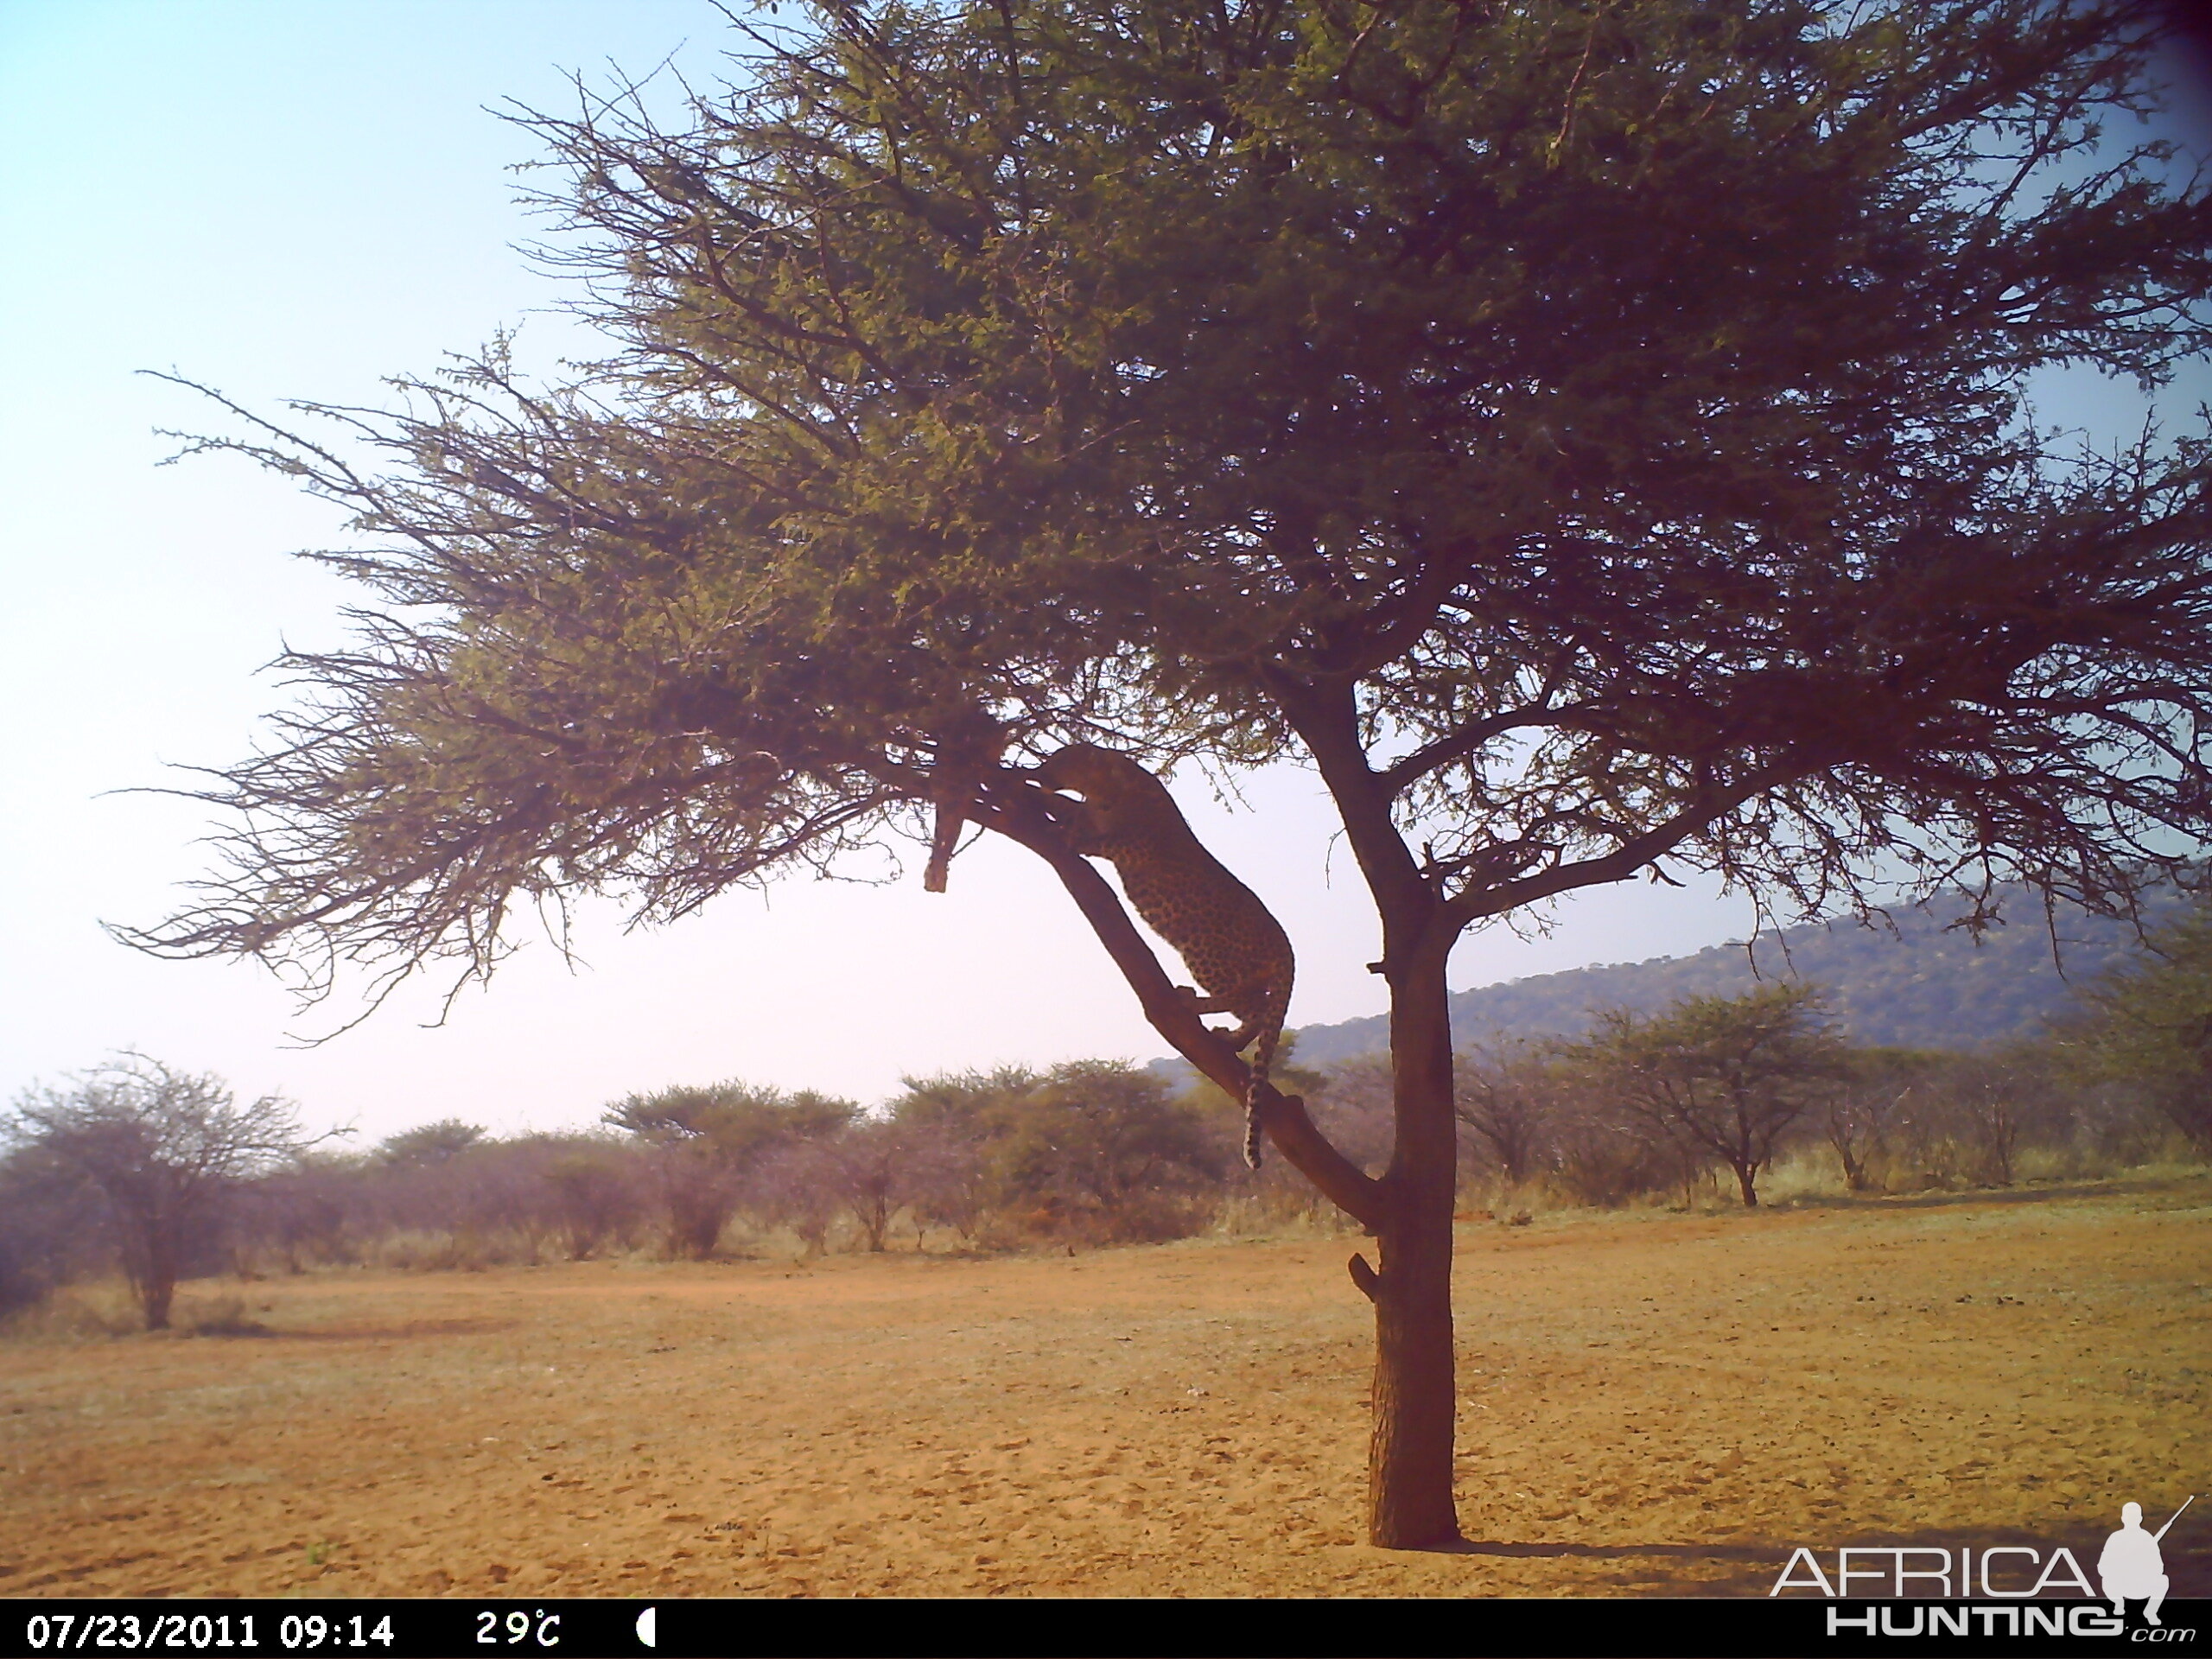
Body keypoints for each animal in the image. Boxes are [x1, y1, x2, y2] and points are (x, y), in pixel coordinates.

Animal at [1035, 747, 1292, 1176]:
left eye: (1059, 759)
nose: (1037, 771)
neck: (1106, 786)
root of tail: (1286, 946)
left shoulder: (1131, 844)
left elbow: (1099, 839)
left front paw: (1065, 832)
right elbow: (1070, 810)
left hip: (1204, 952)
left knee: (1253, 1005)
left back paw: (1200, 1011)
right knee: (1255, 1007)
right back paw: (1226, 1034)